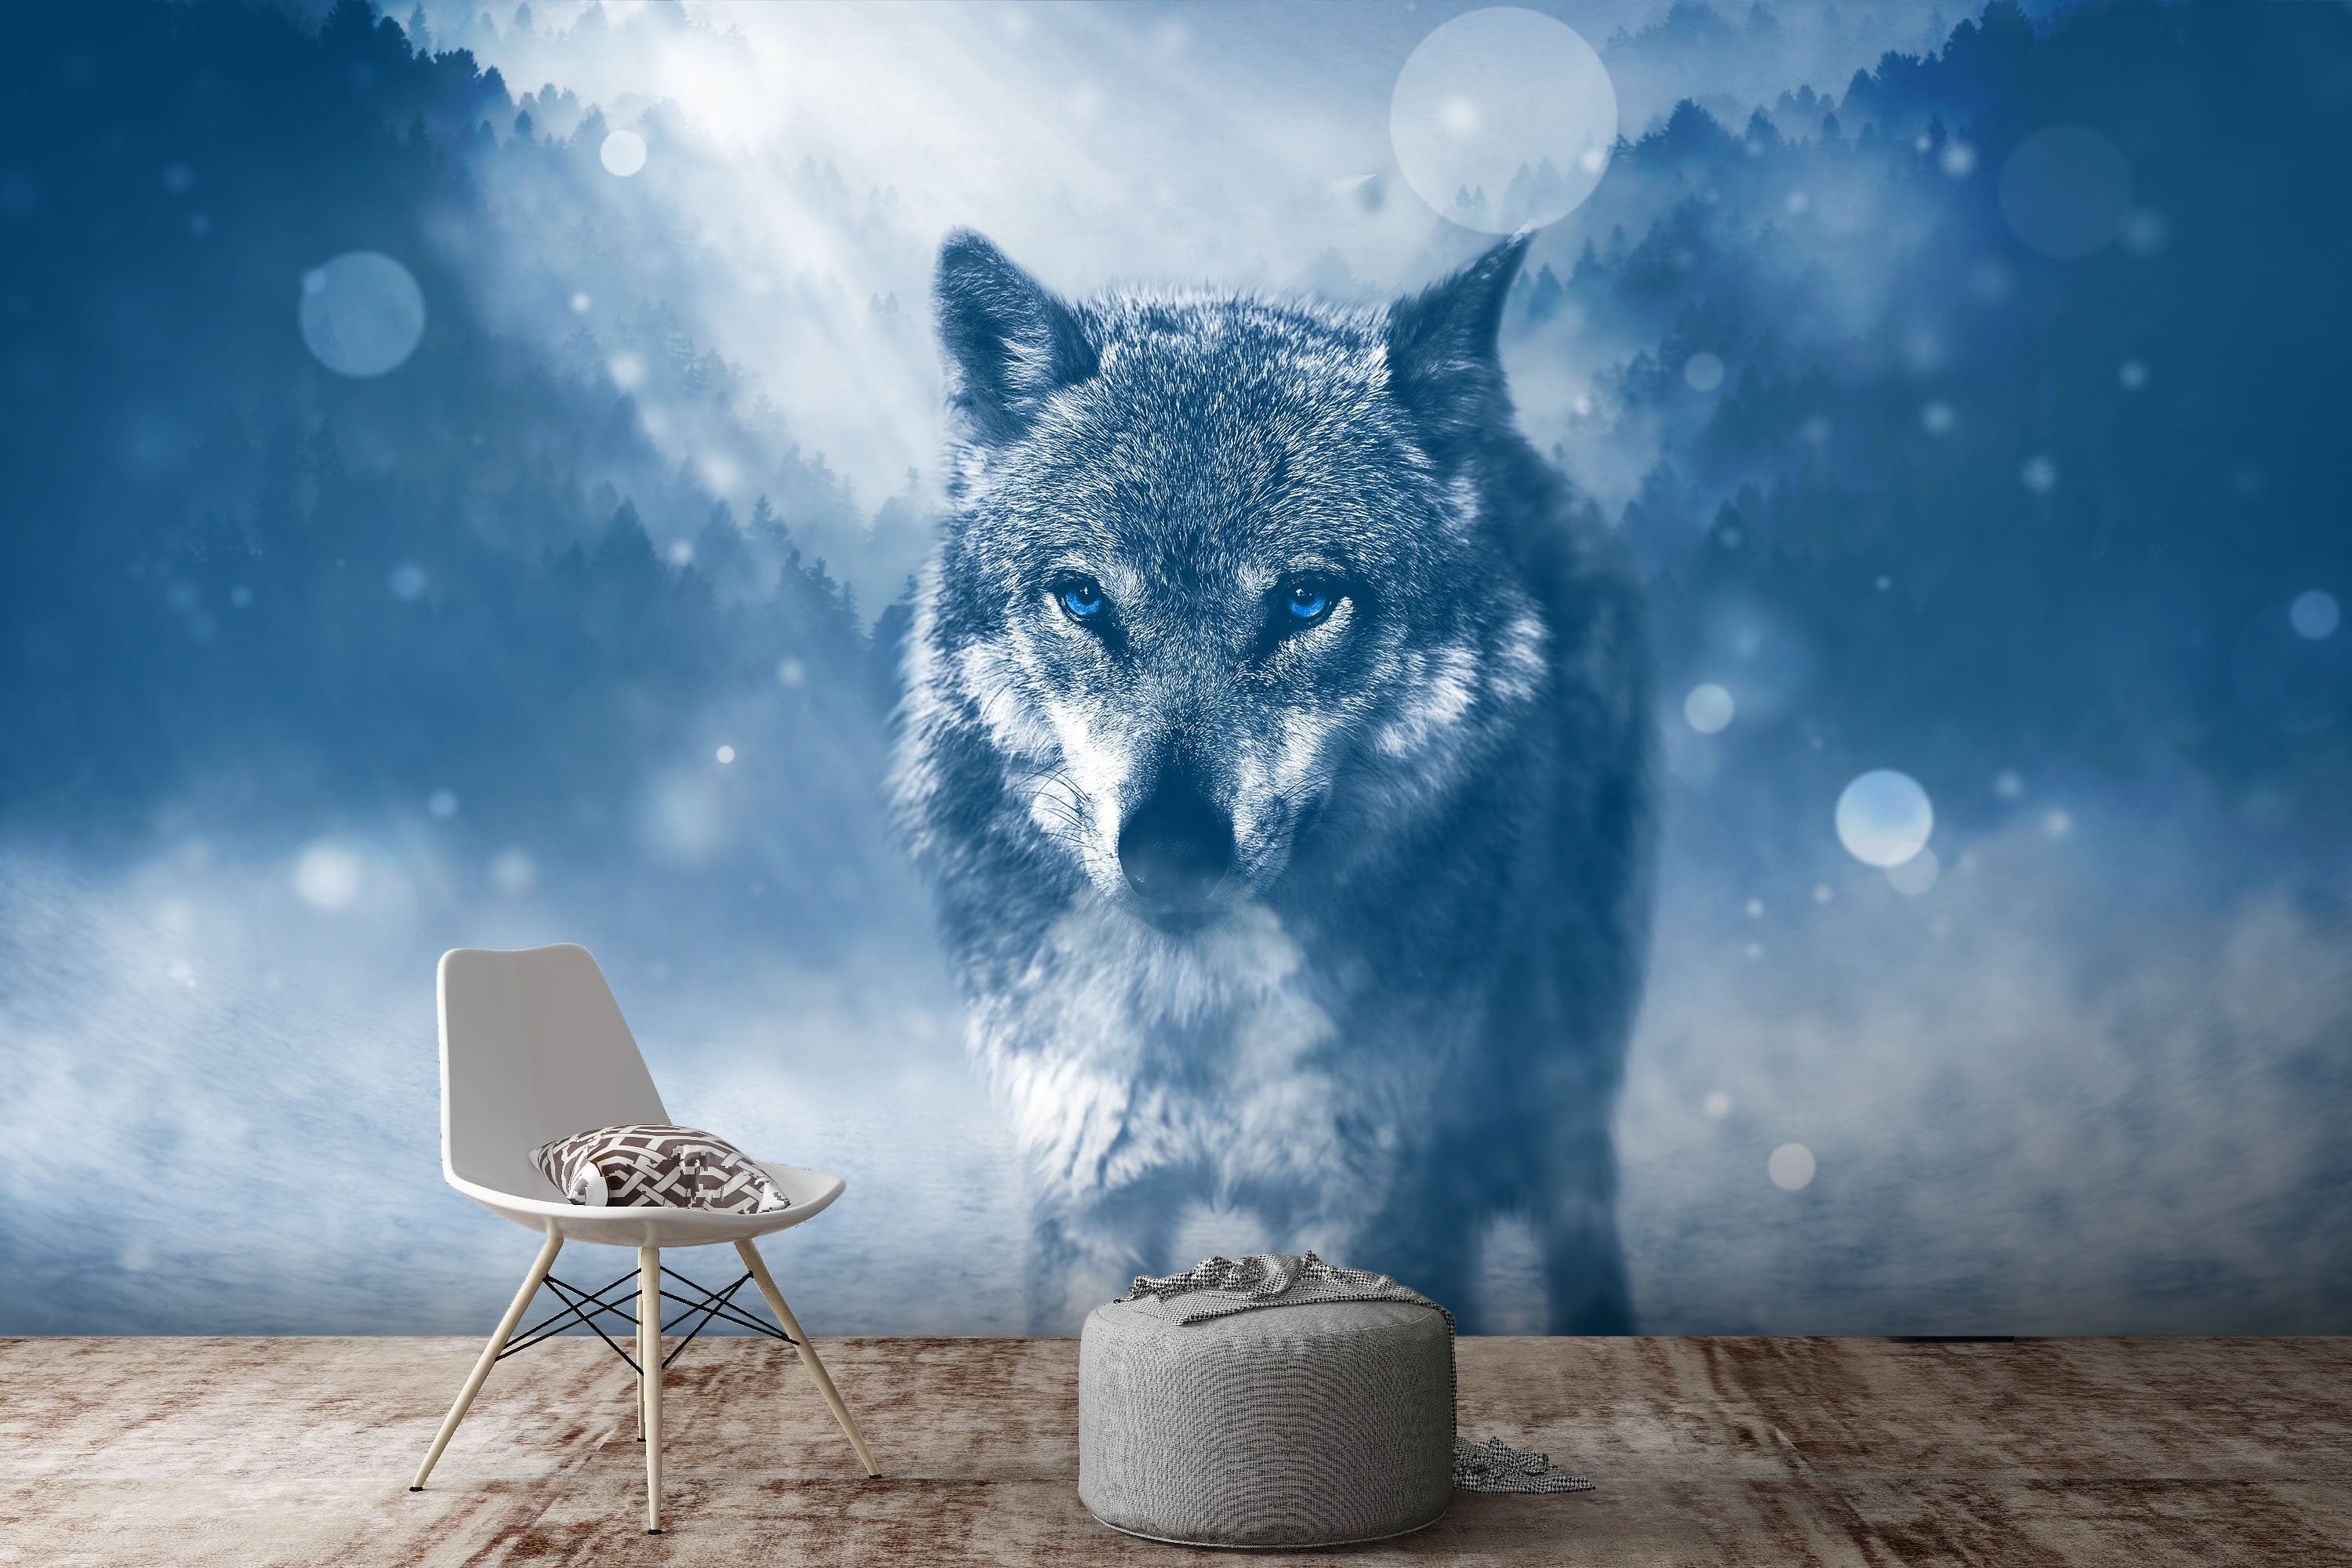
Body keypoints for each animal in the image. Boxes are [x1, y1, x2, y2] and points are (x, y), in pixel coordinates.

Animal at [892, 229, 1655, 1334]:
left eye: (1304, 599)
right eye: (1084, 597)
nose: (1170, 851)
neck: (1200, 1010)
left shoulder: (1380, 1186)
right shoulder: (1086, 1185)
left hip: (1561, 1068)